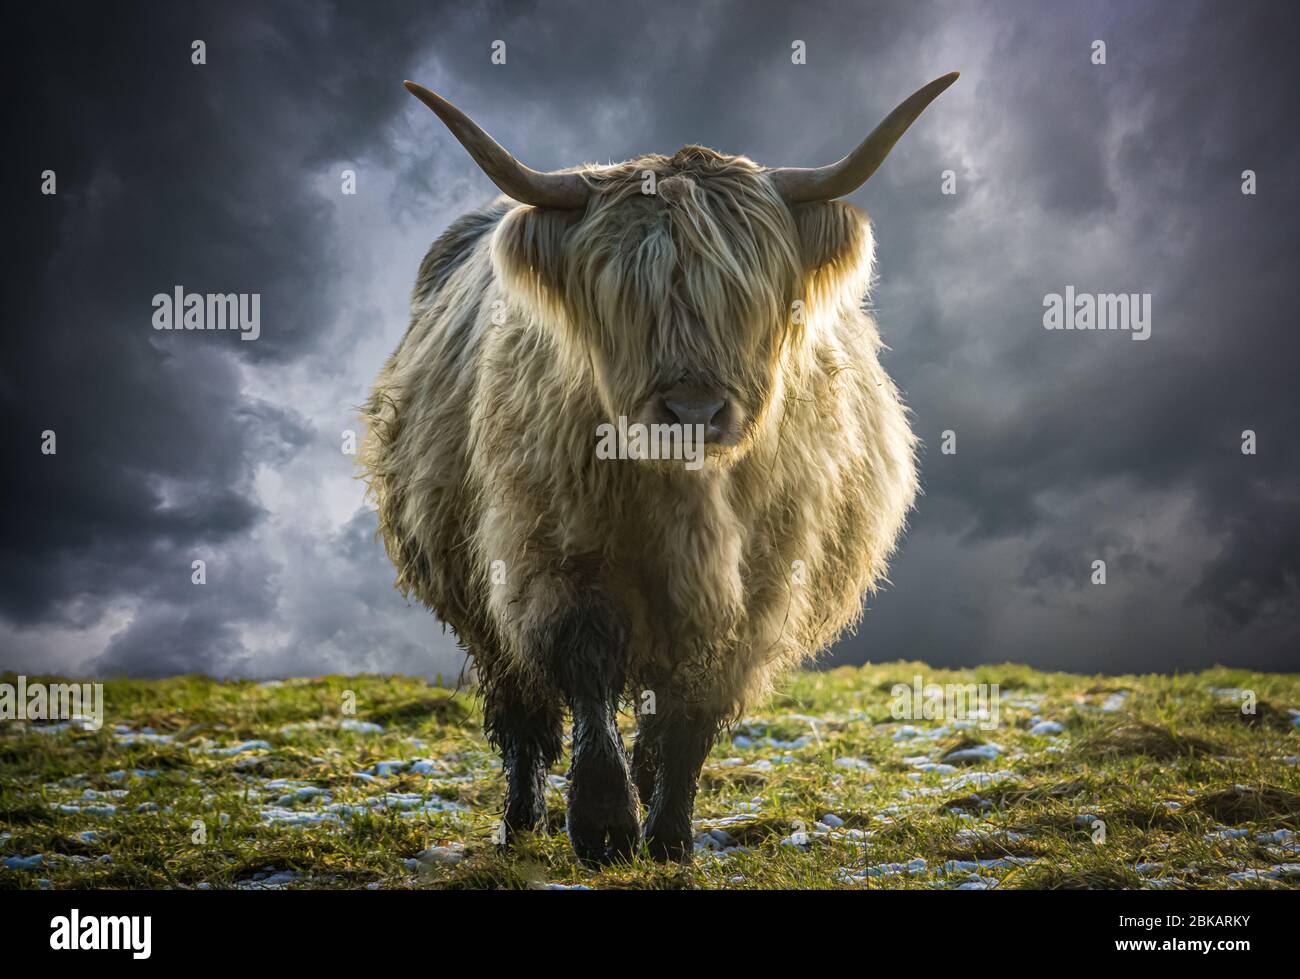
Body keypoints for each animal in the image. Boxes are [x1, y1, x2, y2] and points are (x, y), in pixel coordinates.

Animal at [361, 74, 961, 863]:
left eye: (746, 295)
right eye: (626, 294)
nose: (694, 410)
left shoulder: (761, 586)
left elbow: (693, 713)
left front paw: (670, 832)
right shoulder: (549, 556)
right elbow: (586, 670)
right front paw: (606, 824)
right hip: (473, 593)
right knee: (522, 712)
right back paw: (520, 822)